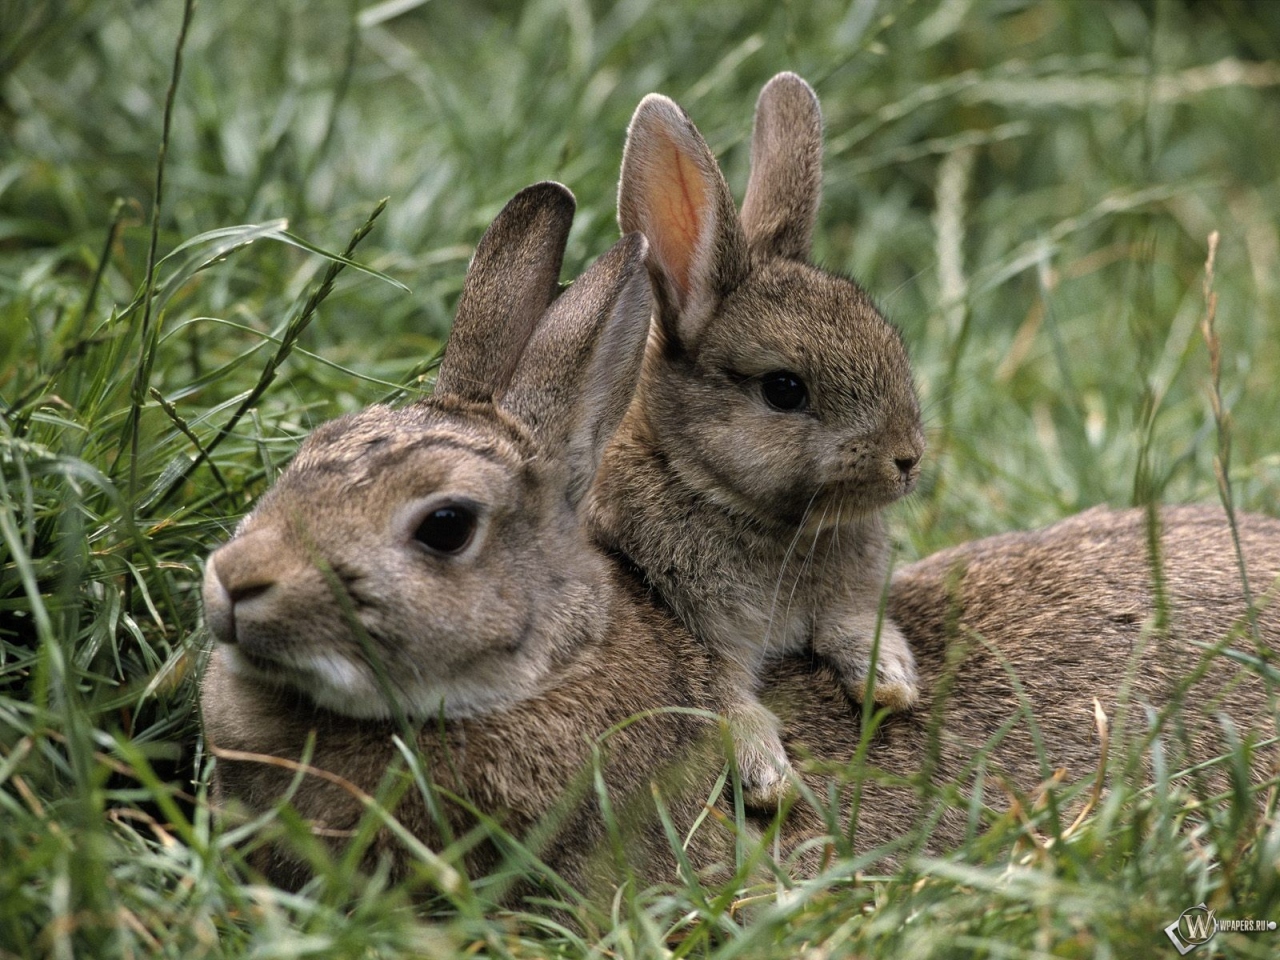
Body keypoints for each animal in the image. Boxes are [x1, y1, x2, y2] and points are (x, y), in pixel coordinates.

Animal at [588, 71, 931, 808]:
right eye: (783, 389)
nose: (908, 459)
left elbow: (853, 623)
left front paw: (890, 681)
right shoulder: (690, 629)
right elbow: (721, 697)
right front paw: (770, 778)